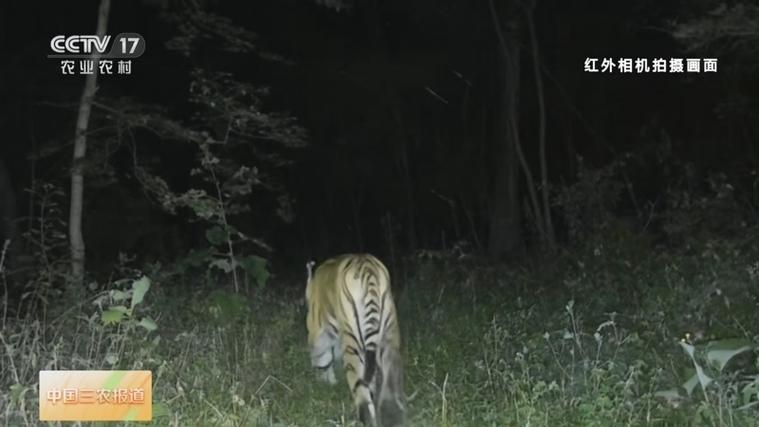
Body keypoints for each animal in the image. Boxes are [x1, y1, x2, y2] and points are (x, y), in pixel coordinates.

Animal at [305, 254, 405, 427]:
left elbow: (322, 358)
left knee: (362, 394)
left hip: (354, 347)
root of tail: (367, 268)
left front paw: (325, 381)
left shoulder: (317, 332)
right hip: (390, 338)